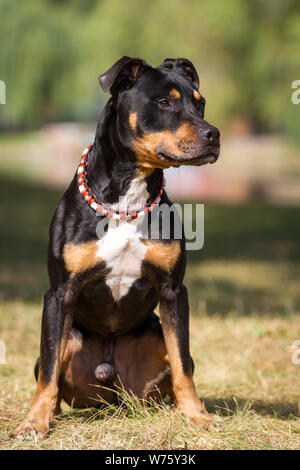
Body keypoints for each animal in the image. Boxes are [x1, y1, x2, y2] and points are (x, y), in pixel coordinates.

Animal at [17, 56, 220, 436]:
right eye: (164, 102)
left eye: (200, 103)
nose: (213, 134)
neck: (127, 199)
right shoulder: (60, 293)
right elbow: (49, 369)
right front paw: (34, 422)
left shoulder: (173, 291)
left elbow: (183, 362)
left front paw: (196, 414)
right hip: (71, 339)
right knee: (50, 371)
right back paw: (51, 413)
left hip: (154, 332)